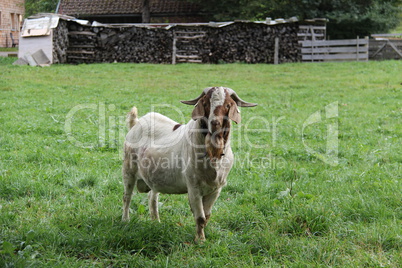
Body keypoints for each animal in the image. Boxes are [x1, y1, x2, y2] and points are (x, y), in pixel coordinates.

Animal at [121, 87, 258, 242]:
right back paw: (125, 220)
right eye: (205, 103)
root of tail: (136, 123)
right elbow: (200, 217)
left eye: (228, 104)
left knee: (152, 197)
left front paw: (203, 236)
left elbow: (207, 216)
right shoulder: (193, 187)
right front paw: (200, 240)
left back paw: (156, 221)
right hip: (128, 170)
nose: (215, 123)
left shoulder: (216, 189)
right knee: (127, 196)